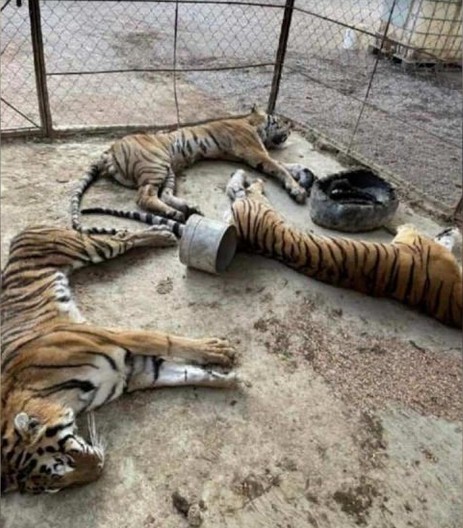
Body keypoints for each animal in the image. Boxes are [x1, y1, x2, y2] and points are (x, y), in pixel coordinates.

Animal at [0, 221, 239, 492]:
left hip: (88, 248)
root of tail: (25, 230)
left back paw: (162, 234)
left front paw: (217, 350)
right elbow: (185, 374)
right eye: (55, 486)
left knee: (123, 238)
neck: (65, 398)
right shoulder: (135, 373)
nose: (98, 470)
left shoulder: (113, 337)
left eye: (64, 460)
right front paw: (227, 378)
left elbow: (166, 341)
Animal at [70, 105, 316, 233]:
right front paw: (297, 190)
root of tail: (109, 150)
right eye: (280, 121)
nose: (291, 127)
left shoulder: (256, 153)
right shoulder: (255, 152)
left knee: (163, 194)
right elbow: (279, 168)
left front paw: (303, 172)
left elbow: (283, 165)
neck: (252, 123)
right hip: (156, 165)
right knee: (144, 196)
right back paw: (177, 213)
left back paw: (186, 209)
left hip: (168, 170)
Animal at [224, 169, 460, 328]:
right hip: (261, 204)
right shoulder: (411, 238)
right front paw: (453, 233)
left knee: (245, 190)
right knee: (250, 188)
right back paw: (251, 177)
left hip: (258, 206)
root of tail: (242, 235)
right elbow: (410, 227)